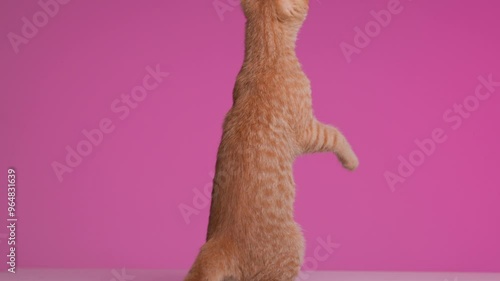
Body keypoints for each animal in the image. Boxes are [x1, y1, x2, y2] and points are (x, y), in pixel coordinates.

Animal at [186, 0, 358, 280]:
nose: (312, 2)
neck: (265, 57)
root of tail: (220, 243)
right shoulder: (308, 131)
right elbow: (335, 134)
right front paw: (351, 161)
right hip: (293, 244)